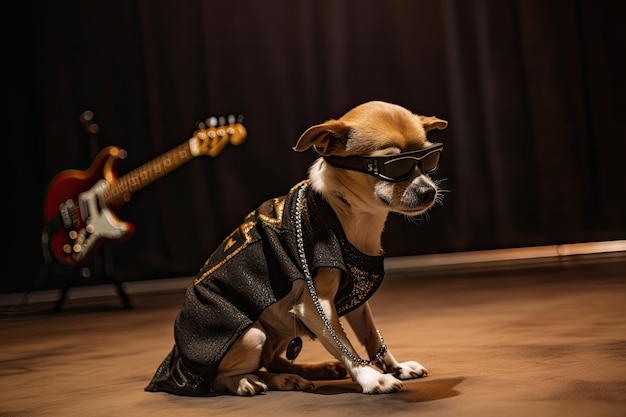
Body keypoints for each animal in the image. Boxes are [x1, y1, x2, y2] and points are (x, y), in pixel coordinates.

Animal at [145, 101, 448, 396]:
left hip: (278, 330)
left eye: (428, 161)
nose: (429, 191)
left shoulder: (357, 299)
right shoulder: (315, 306)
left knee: (271, 361)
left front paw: (396, 368)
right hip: (252, 335)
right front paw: (372, 379)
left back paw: (308, 371)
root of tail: (176, 360)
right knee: (220, 380)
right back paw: (253, 382)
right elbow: (344, 345)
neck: (345, 214)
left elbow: (371, 336)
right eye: (395, 166)